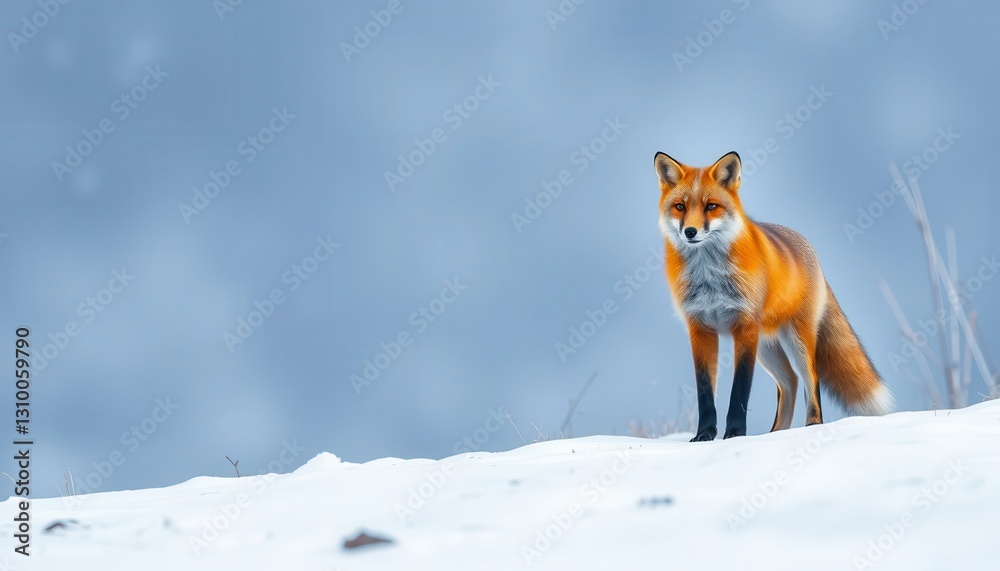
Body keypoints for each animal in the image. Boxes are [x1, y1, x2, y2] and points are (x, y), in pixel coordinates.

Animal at [654, 151, 893, 441]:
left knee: (810, 378)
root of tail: (809, 248)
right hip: (767, 347)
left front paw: (735, 434)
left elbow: (740, 389)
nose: (690, 232)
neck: (710, 277)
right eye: (680, 206)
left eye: (711, 206)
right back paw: (775, 435)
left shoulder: (745, 327)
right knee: (790, 381)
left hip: (796, 340)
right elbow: (704, 390)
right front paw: (705, 435)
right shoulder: (700, 328)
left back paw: (813, 424)